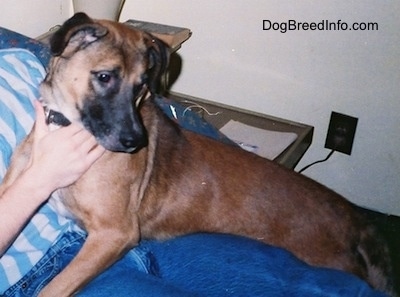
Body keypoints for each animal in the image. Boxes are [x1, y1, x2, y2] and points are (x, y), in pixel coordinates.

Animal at [0, 12, 394, 294]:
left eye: (141, 86)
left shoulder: (114, 233)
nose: (134, 142)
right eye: (105, 77)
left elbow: (53, 289)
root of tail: (355, 219)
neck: (64, 129)